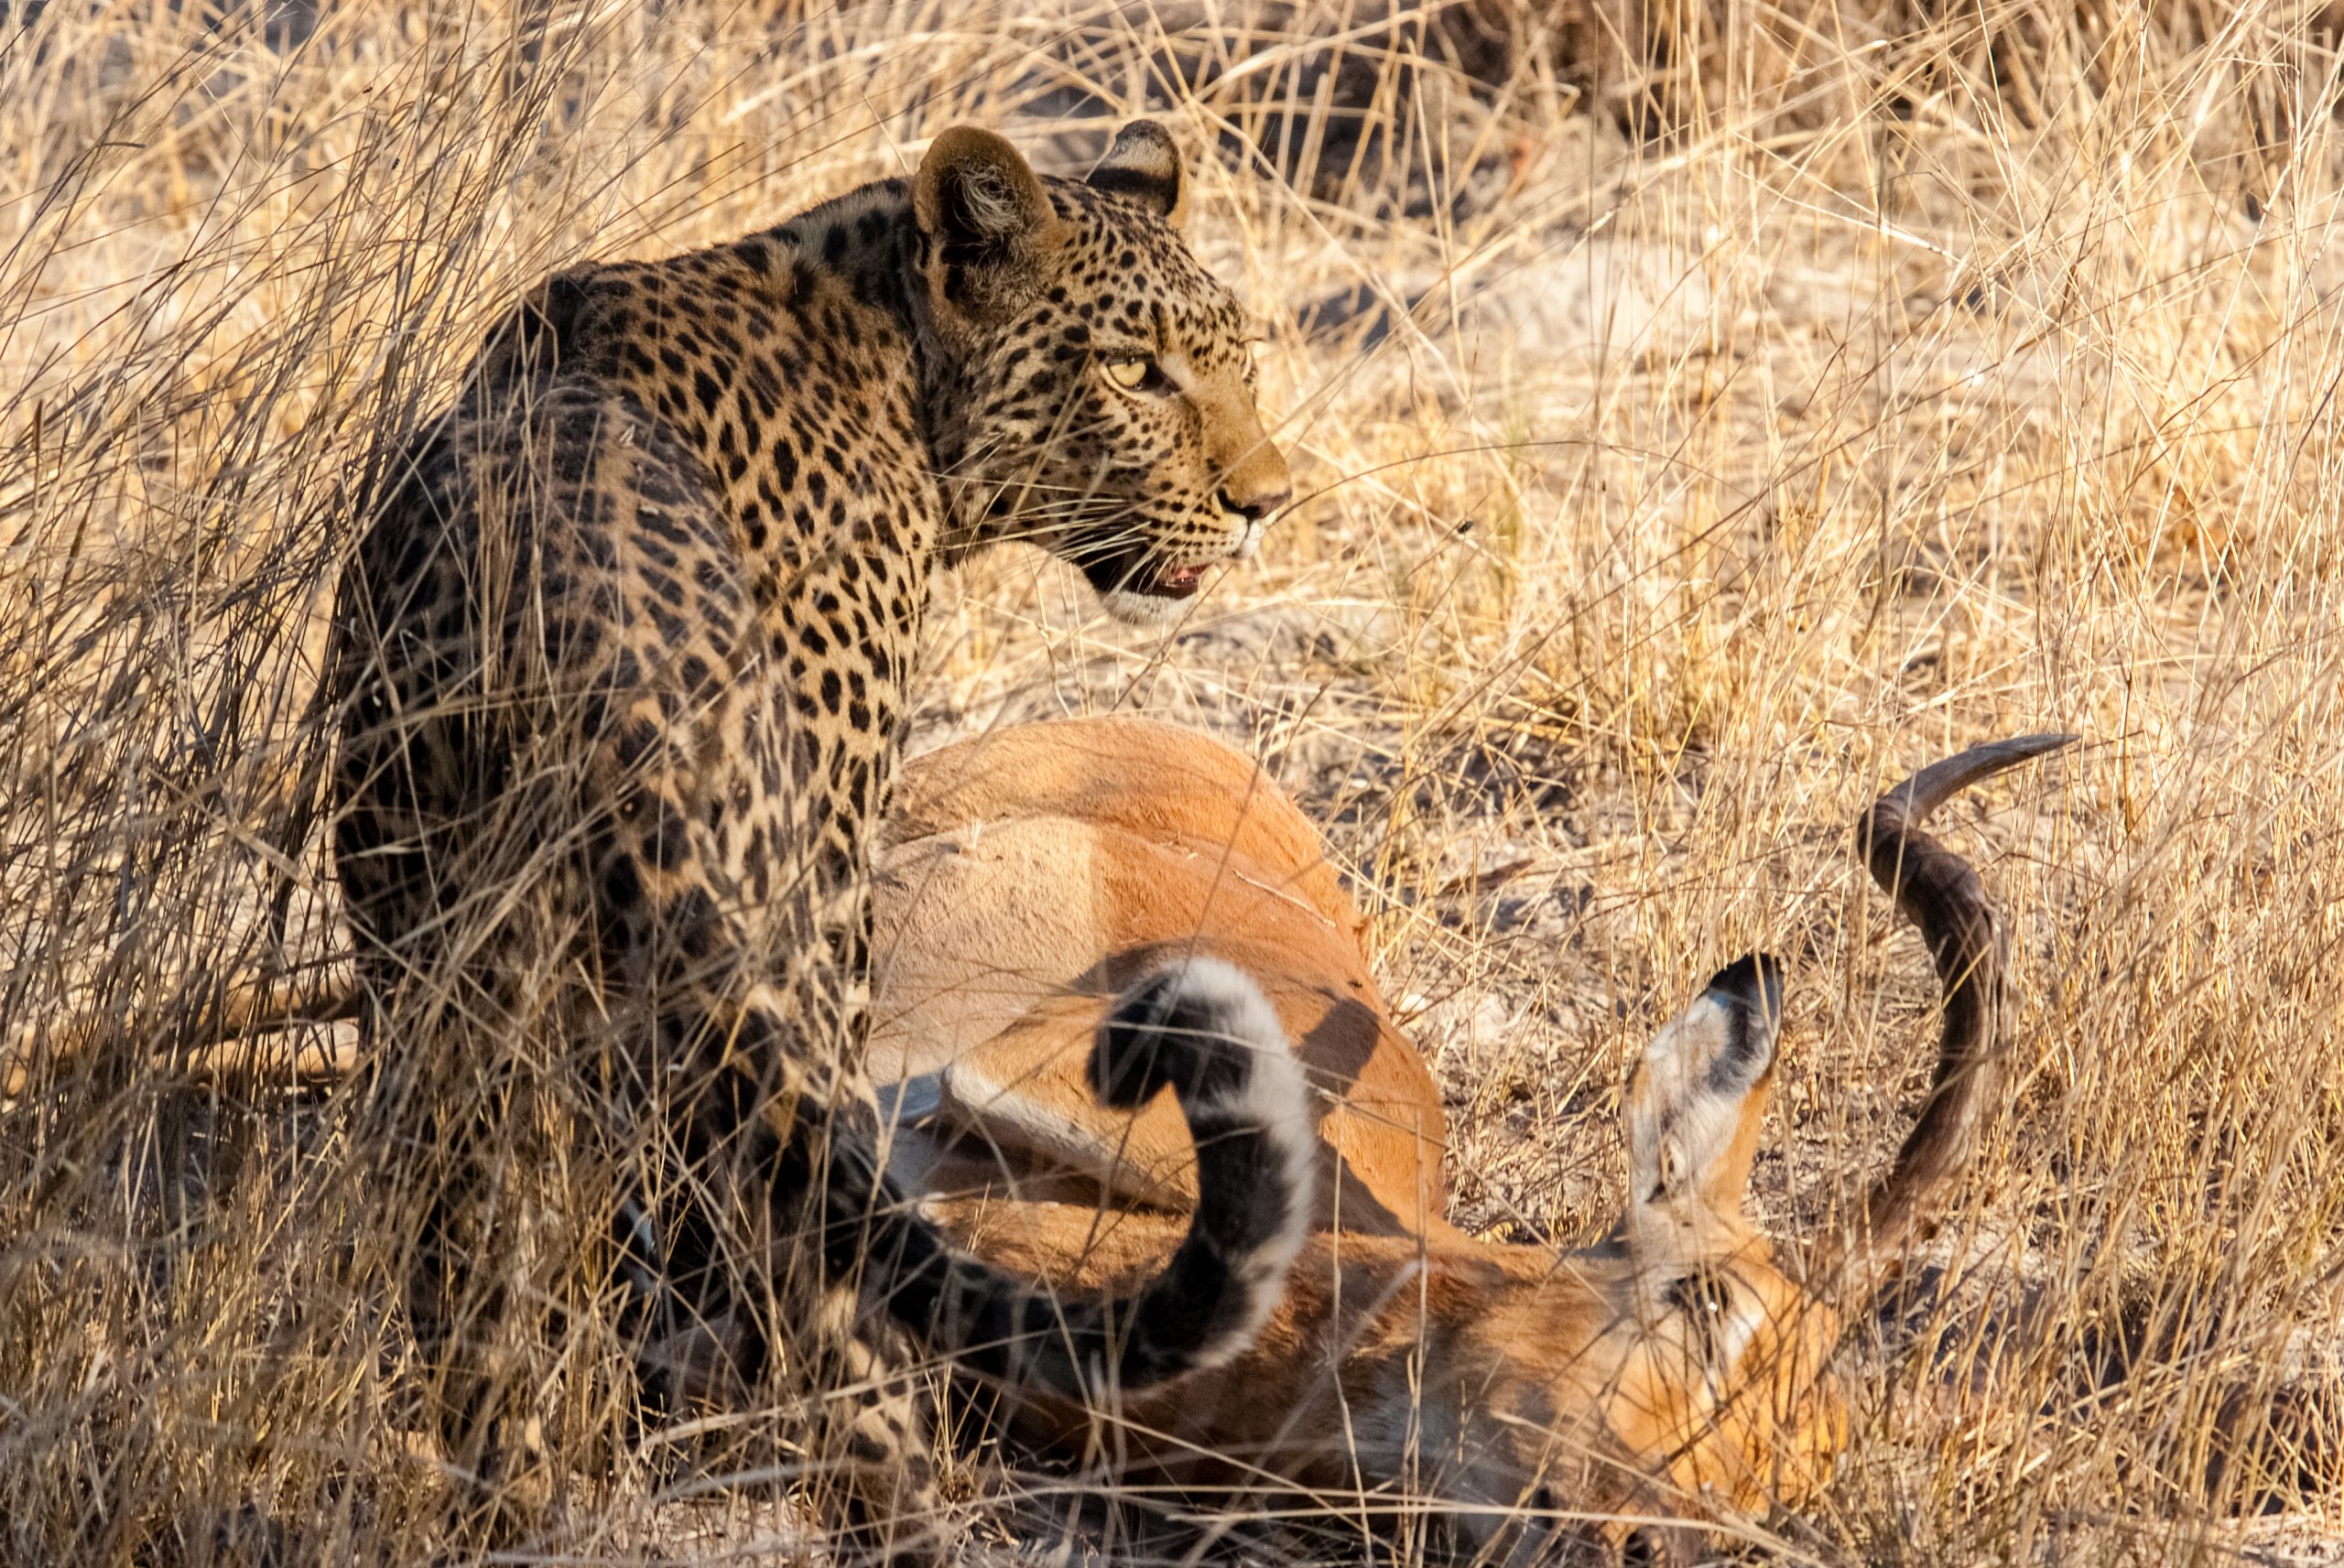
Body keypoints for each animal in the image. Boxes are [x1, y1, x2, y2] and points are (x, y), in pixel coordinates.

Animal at [326, 121, 1305, 1560]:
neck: (891, 359)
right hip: (783, 944)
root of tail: (601, 658)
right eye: (1137, 371)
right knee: (819, 1279)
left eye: (1238, 357)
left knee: (483, 1261)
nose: (1265, 503)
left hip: (450, 972)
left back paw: (518, 1495)